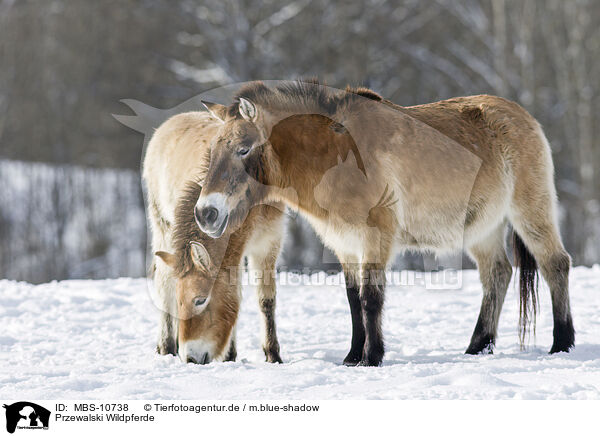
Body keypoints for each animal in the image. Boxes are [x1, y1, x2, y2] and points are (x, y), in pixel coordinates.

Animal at [142, 111, 284, 364]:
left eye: (200, 299)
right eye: (182, 301)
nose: (190, 357)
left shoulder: (268, 245)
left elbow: (265, 300)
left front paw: (272, 354)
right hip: (163, 229)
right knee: (164, 282)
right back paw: (166, 345)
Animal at [195, 80, 576, 366]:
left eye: (243, 149)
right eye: (212, 150)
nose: (205, 212)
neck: (335, 153)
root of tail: (522, 116)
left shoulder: (376, 235)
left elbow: (371, 297)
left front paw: (372, 357)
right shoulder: (344, 243)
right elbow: (353, 299)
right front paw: (352, 357)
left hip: (530, 211)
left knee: (555, 264)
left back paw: (562, 343)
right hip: (483, 228)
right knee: (497, 274)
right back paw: (477, 348)